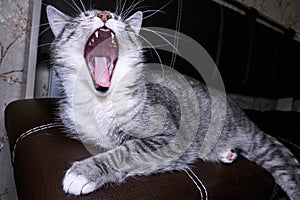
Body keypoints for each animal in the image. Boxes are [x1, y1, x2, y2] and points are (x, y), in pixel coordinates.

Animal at [47, 3, 300, 200]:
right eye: (84, 15)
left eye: (120, 20)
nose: (105, 15)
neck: (100, 101)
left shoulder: (169, 136)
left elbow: (126, 150)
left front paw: (85, 172)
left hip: (253, 139)